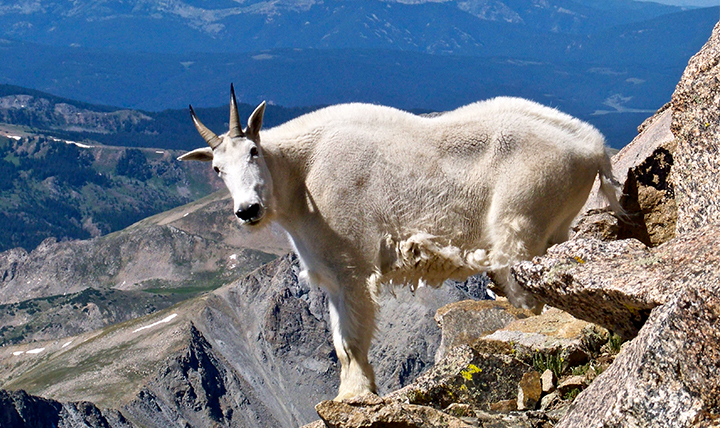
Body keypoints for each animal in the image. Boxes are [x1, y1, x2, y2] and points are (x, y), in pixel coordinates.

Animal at [177, 87, 620, 402]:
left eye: (253, 151)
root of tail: (594, 146)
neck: (299, 175)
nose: (247, 210)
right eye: (216, 169)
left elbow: (351, 341)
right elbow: (339, 343)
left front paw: (355, 394)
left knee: (529, 295)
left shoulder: (352, 266)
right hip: (556, 228)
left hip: (521, 225)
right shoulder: (333, 278)